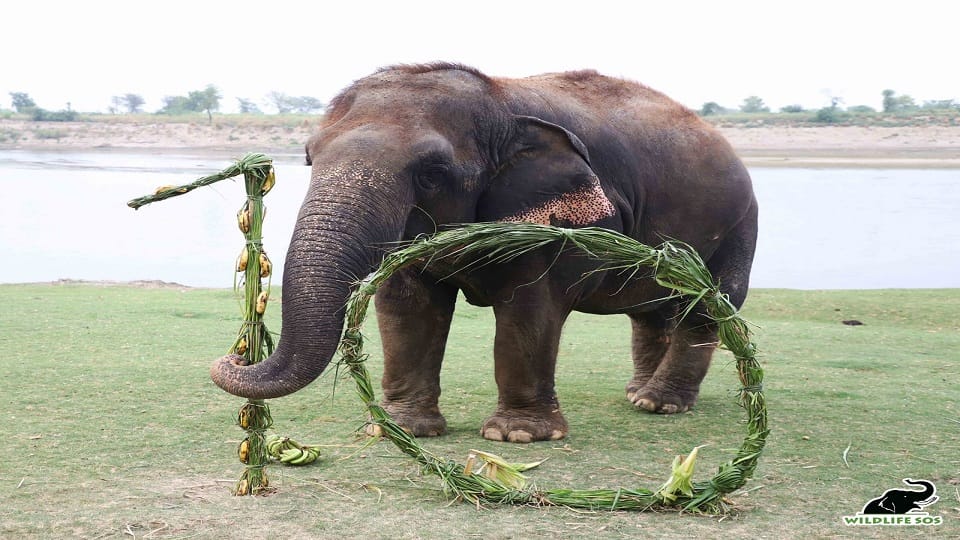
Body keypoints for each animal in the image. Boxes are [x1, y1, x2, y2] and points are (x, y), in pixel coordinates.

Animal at [211, 62, 758, 443]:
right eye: (307, 157)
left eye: (432, 173)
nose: (236, 355)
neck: (500, 98)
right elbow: (408, 307)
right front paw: (400, 429)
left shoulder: (552, 224)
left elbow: (530, 310)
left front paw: (516, 436)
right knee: (650, 311)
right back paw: (637, 396)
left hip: (738, 228)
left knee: (705, 309)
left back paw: (660, 405)